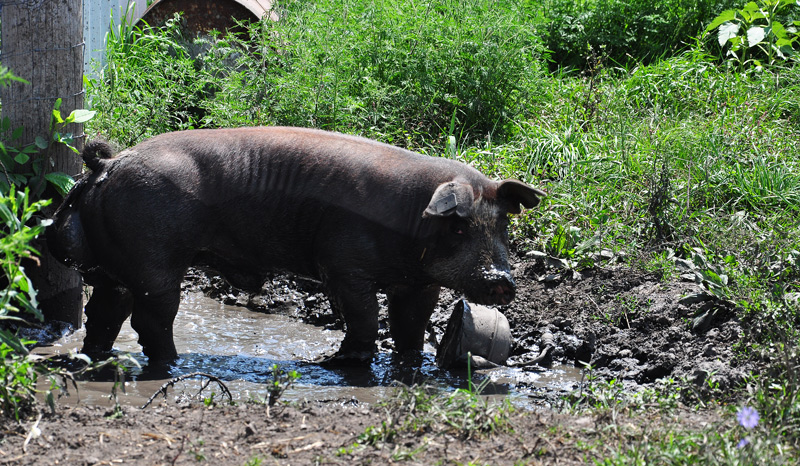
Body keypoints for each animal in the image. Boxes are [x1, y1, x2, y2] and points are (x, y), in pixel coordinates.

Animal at [47, 127, 545, 365]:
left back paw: (100, 357)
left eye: (501, 226)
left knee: (105, 312)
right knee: (150, 319)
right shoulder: (344, 266)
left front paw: (409, 362)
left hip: (115, 265)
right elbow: (364, 317)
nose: (502, 281)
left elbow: (410, 327)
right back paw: (171, 361)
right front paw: (341, 362)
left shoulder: (419, 283)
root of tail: (108, 164)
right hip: (154, 261)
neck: (410, 223)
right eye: (459, 228)